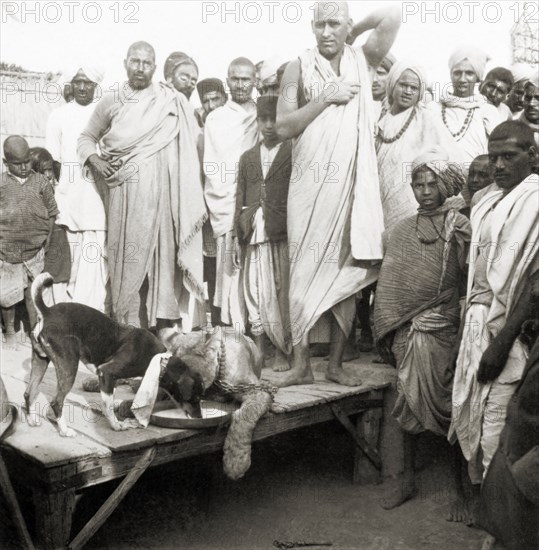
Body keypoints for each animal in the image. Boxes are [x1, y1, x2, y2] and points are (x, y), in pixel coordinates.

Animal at [24, 274, 205, 438]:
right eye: (194, 398)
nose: (199, 418)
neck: (160, 361)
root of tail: (47, 312)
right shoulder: (106, 372)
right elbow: (109, 407)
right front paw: (116, 426)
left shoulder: (111, 379)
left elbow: (109, 402)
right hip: (69, 365)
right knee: (56, 402)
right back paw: (64, 431)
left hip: (40, 361)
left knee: (29, 393)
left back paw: (32, 421)